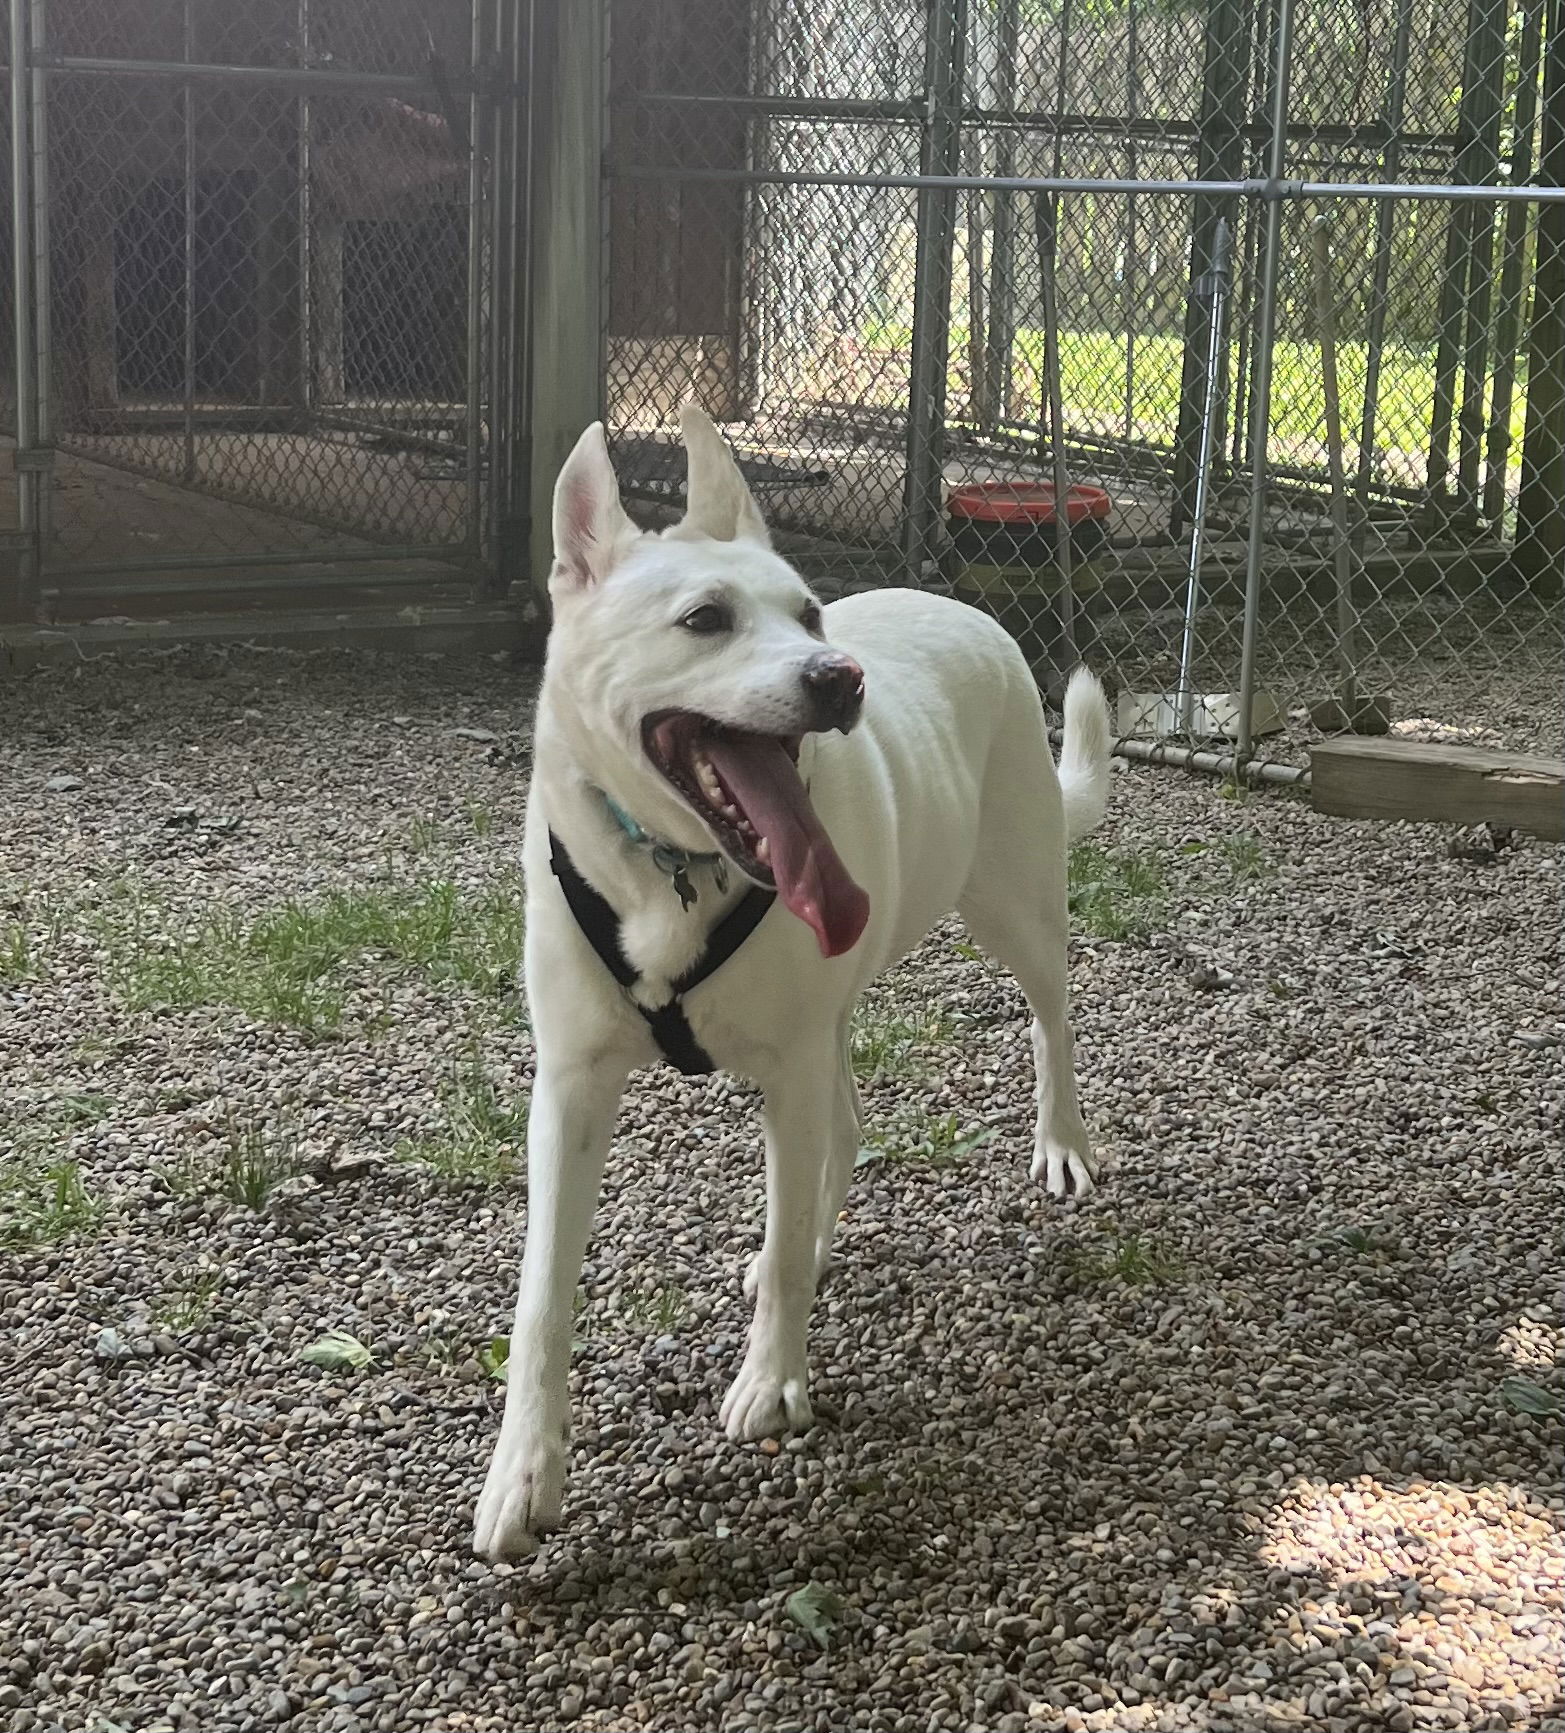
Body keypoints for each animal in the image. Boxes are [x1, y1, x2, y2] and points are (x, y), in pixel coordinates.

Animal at [478, 412, 1116, 1566]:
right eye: (704, 619)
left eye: (809, 611)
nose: (840, 676)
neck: (675, 869)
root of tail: (968, 610)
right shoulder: (572, 1088)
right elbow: (542, 1295)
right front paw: (523, 1473)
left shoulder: (783, 1066)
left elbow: (776, 1256)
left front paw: (770, 1383)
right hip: (831, 1021)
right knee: (841, 1124)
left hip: (1012, 912)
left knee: (1050, 1022)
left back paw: (1060, 1144)